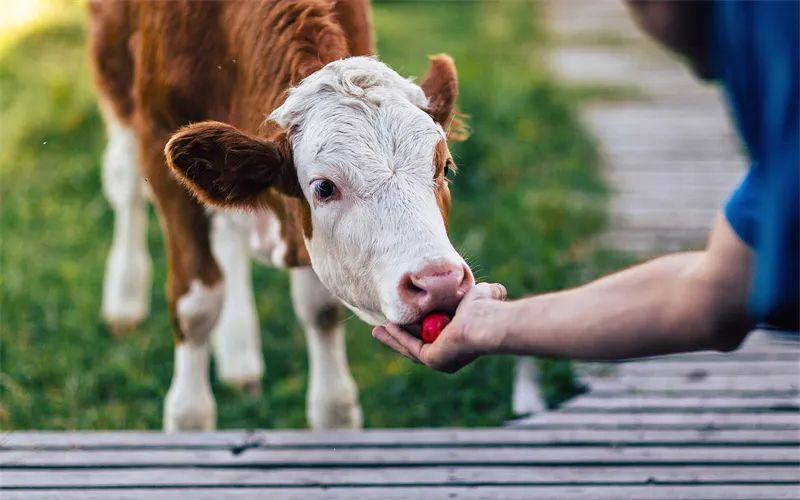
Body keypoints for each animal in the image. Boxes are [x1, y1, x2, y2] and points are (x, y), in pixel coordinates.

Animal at [90, 0, 548, 430]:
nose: (438, 283)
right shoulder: (158, 139)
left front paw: (334, 415)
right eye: (324, 187)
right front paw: (189, 421)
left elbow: (321, 313)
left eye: (445, 167)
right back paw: (125, 300)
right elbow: (196, 308)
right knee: (126, 185)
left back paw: (239, 355)